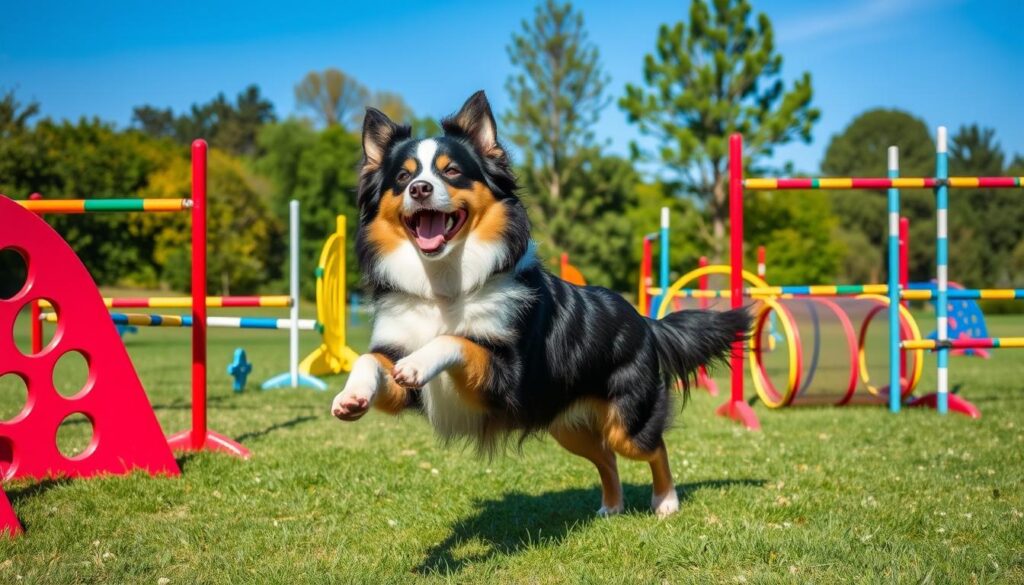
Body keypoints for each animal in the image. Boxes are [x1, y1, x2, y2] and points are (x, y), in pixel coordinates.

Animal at [331, 90, 749, 516]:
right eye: (402, 177)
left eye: (452, 172)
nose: (419, 189)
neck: (442, 285)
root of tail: (644, 321)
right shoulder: (402, 375)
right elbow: (369, 360)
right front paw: (351, 395)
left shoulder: (503, 376)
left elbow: (456, 339)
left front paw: (418, 363)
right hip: (566, 423)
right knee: (606, 457)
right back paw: (611, 507)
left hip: (627, 418)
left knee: (653, 446)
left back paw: (665, 501)